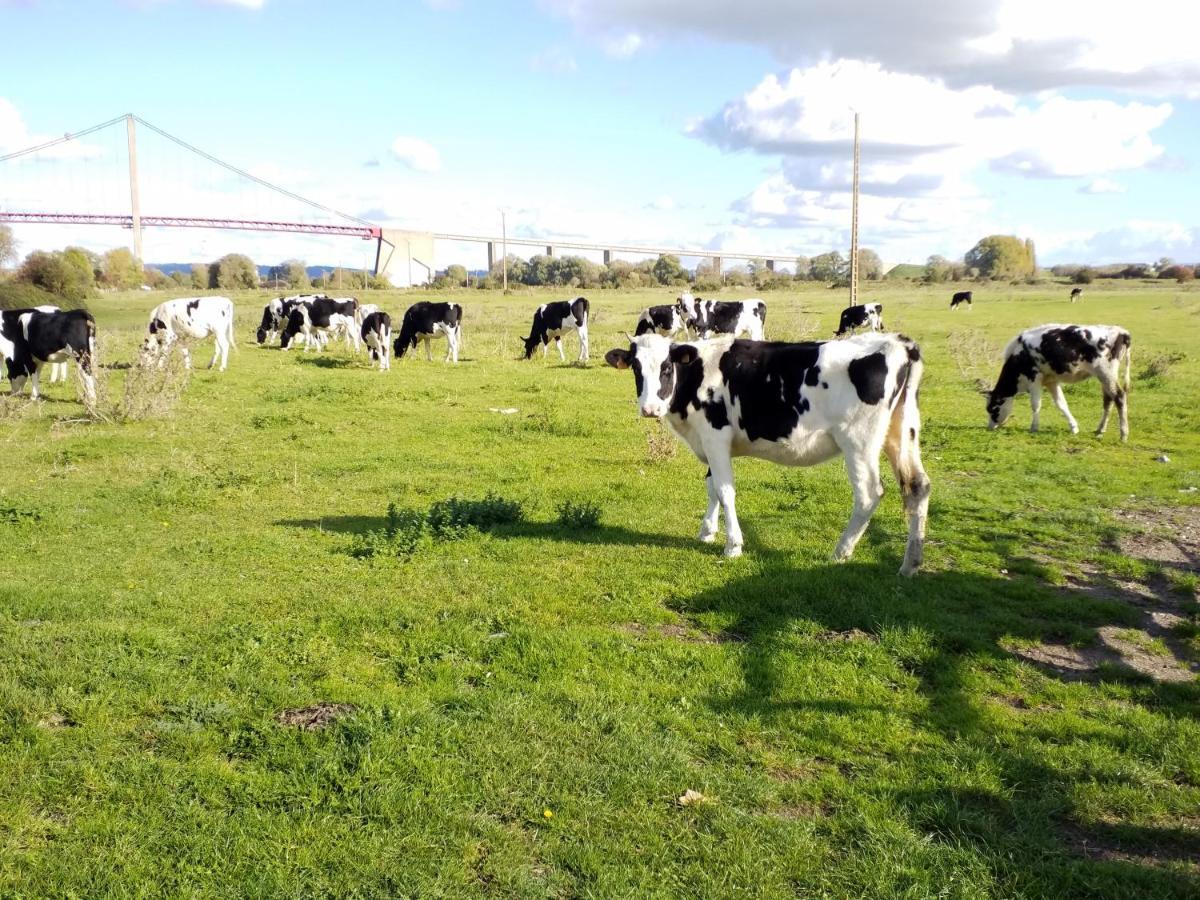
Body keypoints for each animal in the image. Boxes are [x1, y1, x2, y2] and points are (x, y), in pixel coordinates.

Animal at [604, 333, 931, 578]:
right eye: (635, 368)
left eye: (666, 368)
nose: (649, 409)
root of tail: (899, 342)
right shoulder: (709, 442)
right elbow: (711, 487)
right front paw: (707, 531)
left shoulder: (715, 435)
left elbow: (725, 490)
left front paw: (733, 545)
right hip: (902, 433)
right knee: (918, 486)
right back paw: (910, 564)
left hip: (858, 441)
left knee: (868, 494)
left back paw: (841, 551)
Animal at [984, 326, 1132, 441]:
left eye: (992, 409)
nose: (990, 427)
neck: (1019, 354)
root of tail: (1121, 331)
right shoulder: (1051, 381)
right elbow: (1061, 404)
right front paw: (1074, 427)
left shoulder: (1034, 378)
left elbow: (1036, 405)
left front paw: (1034, 427)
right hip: (1105, 377)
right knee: (1108, 400)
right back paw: (1100, 430)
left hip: (1106, 374)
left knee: (1119, 397)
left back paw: (1123, 435)